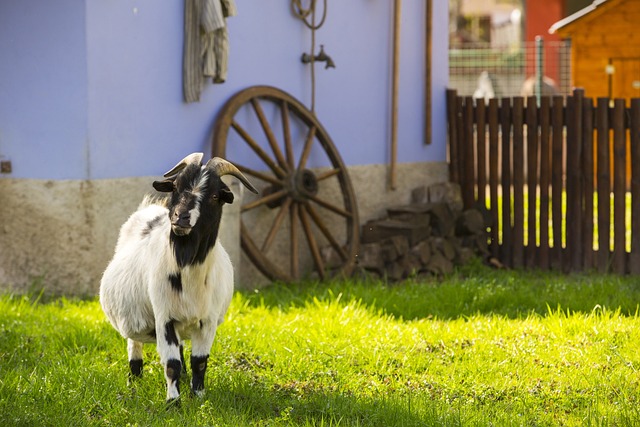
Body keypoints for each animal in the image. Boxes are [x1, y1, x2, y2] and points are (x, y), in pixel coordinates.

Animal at [99, 154, 258, 404]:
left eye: (215, 195)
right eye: (175, 186)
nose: (180, 217)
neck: (188, 271)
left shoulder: (207, 321)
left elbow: (199, 362)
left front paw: (199, 397)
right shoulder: (164, 317)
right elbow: (171, 363)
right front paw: (173, 402)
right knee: (134, 347)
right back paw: (134, 384)